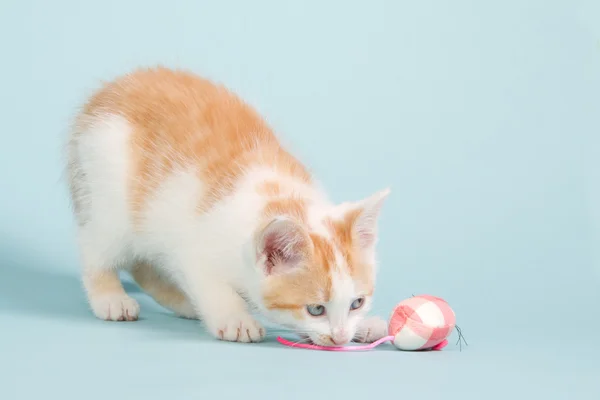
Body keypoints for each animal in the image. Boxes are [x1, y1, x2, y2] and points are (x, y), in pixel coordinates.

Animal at [67, 67, 390, 346]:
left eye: (357, 303)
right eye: (316, 309)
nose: (340, 337)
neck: (282, 198)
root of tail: (102, 94)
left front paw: (366, 325)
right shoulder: (193, 247)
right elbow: (211, 285)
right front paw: (236, 319)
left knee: (141, 264)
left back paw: (182, 301)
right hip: (108, 198)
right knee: (96, 248)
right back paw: (111, 298)